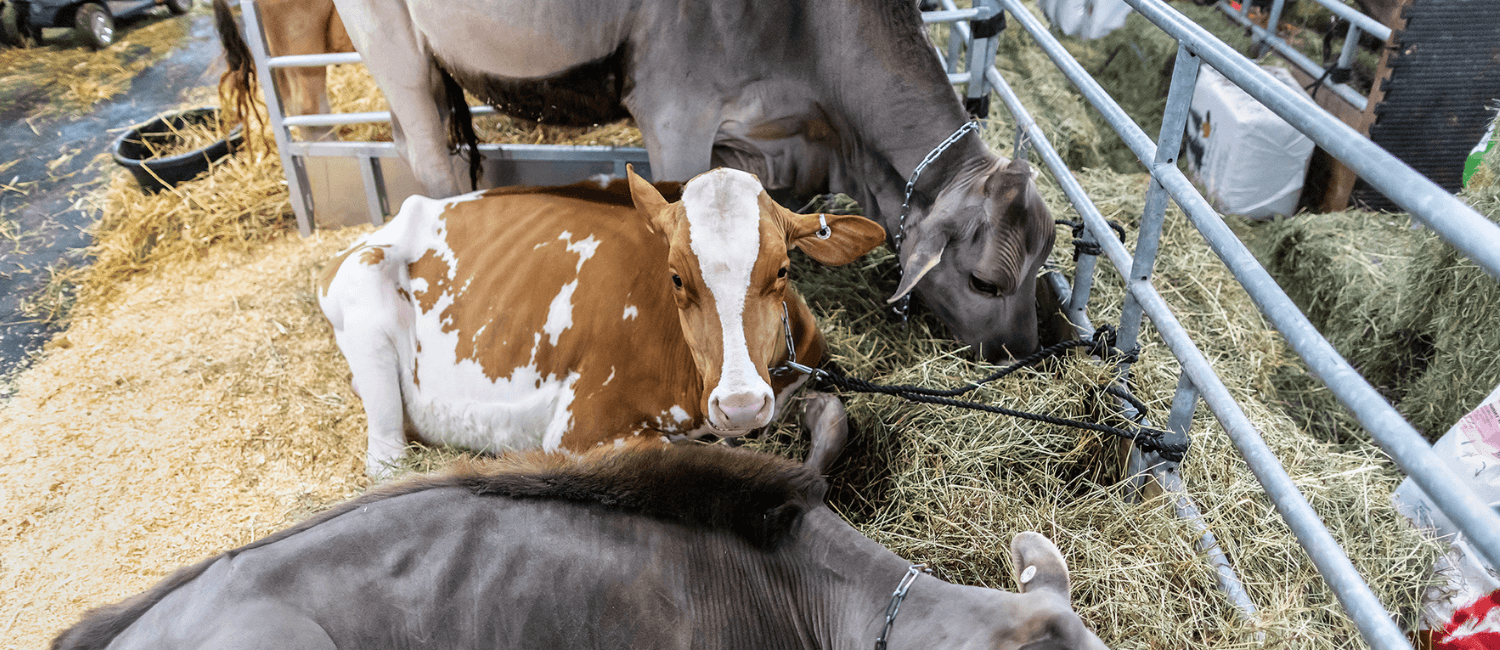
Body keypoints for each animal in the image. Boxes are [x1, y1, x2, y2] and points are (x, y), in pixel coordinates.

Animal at [316, 164, 876, 474]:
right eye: (676, 278)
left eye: (783, 269)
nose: (740, 406)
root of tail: (398, 218)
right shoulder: (577, 429)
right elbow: (710, 457)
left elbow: (835, 417)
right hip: (364, 302)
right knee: (386, 458)